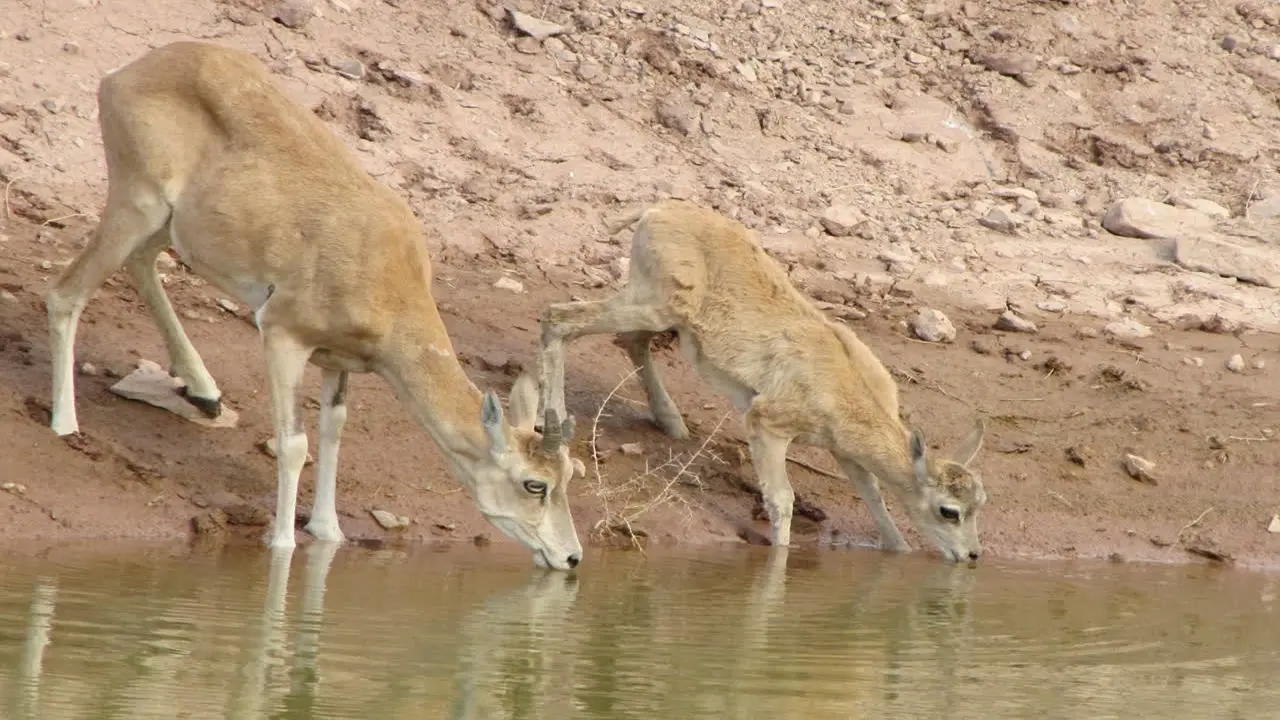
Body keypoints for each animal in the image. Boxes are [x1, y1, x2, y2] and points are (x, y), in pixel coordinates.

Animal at [43, 41, 586, 568]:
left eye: (567, 476)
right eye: (534, 483)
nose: (572, 557)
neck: (385, 271)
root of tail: (122, 75)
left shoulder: (337, 359)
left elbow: (334, 428)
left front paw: (328, 530)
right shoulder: (283, 333)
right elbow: (293, 443)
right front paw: (283, 543)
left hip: (171, 225)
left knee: (139, 261)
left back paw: (203, 391)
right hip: (137, 202)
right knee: (65, 292)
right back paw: (65, 424)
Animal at [540, 199, 988, 561]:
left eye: (980, 503)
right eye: (949, 510)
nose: (972, 555)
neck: (845, 386)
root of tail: (655, 210)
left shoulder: (843, 450)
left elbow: (873, 494)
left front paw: (899, 547)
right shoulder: (768, 423)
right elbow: (781, 498)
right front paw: (780, 556)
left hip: (656, 309)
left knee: (628, 339)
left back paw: (672, 423)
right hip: (655, 304)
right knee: (560, 317)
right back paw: (555, 426)